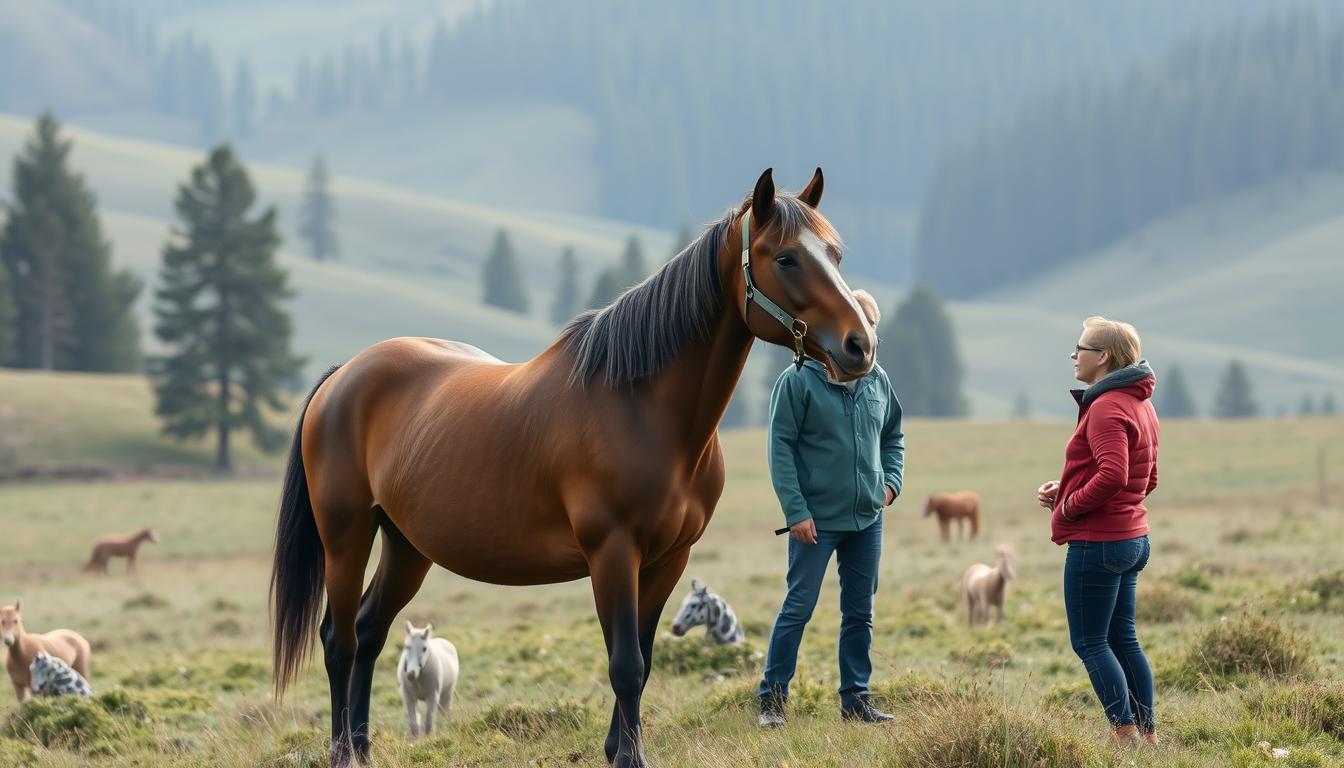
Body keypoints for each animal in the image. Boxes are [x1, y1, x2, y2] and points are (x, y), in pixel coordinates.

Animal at [268, 168, 876, 768]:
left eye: (836, 253)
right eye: (786, 258)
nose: (860, 345)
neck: (641, 406)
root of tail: (344, 374)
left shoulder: (668, 560)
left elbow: (642, 660)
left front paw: (618, 748)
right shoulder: (613, 552)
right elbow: (625, 663)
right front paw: (629, 757)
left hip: (407, 545)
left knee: (370, 631)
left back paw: (363, 747)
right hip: (346, 536)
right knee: (340, 640)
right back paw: (342, 752)